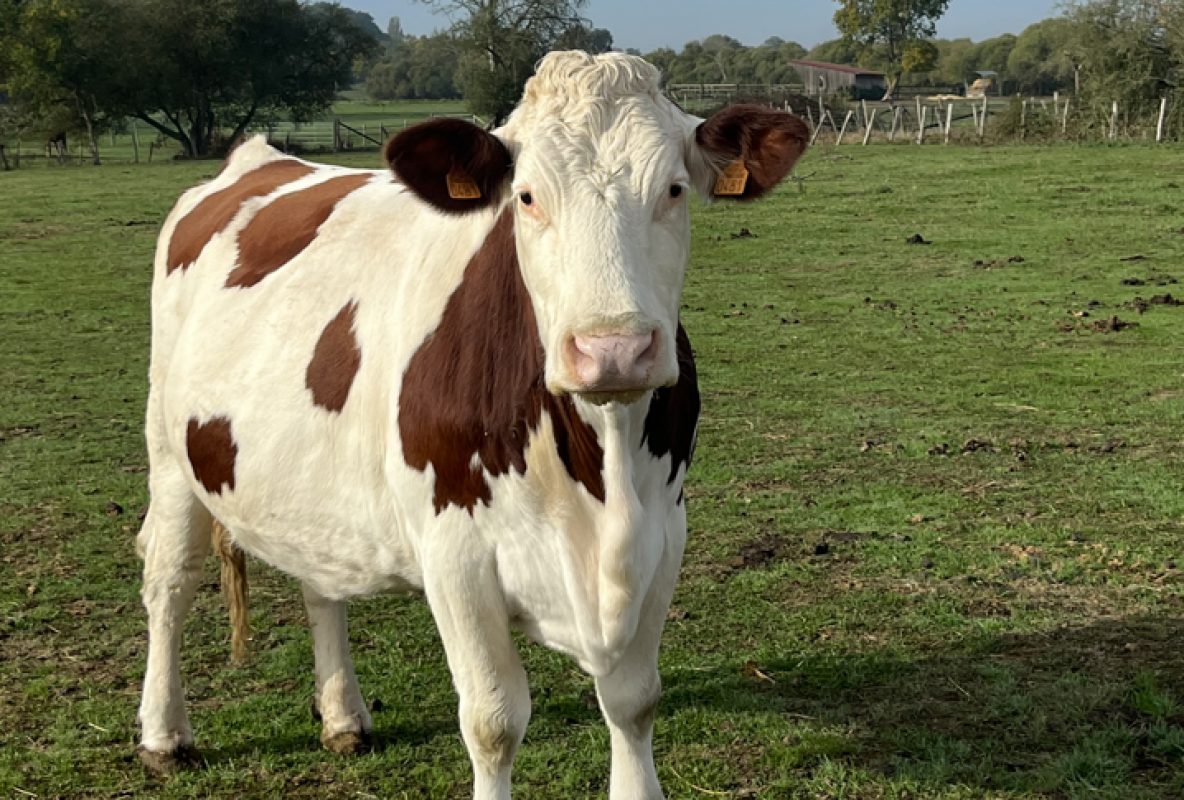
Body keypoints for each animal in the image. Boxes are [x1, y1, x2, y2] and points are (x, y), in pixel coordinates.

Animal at [136, 50, 808, 799]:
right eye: (527, 197)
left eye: (674, 189)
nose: (613, 349)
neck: (599, 475)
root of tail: (259, 159)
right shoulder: (454, 555)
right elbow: (493, 721)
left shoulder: (665, 536)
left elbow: (634, 702)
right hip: (168, 449)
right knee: (168, 578)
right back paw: (164, 735)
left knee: (321, 583)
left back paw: (342, 717)